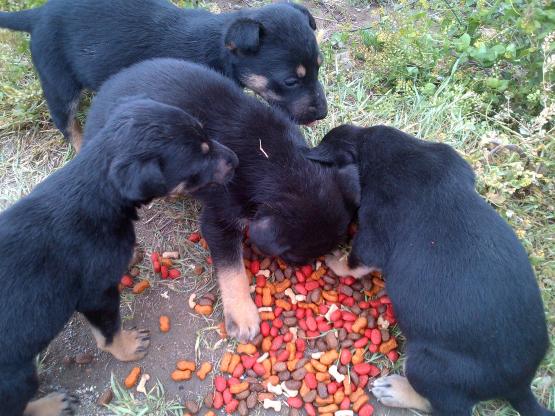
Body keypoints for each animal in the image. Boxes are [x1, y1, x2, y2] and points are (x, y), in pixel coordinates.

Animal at [0, 0, 326, 148]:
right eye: (290, 81)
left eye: (319, 66)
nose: (322, 114)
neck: (218, 46)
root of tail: (37, 14)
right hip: (58, 79)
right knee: (66, 121)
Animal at [0, 98, 237, 416]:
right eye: (200, 159)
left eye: (207, 136)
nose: (236, 159)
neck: (96, 190)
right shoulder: (95, 294)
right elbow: (109, 331)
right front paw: (128, 347)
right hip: (17, 376)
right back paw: (52, 403)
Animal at [81, 57, 360, 342]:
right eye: (294, 259)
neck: (280, 162)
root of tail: (105, 90)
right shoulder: (219, 219)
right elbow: (232, 269)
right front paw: (243, 315)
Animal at [308, 124, 555, 416]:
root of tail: (519, 387)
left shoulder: (373, 232)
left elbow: (353, 263)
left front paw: (334, 259)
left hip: (426, 365)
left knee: (441, 404)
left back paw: (395, 391)